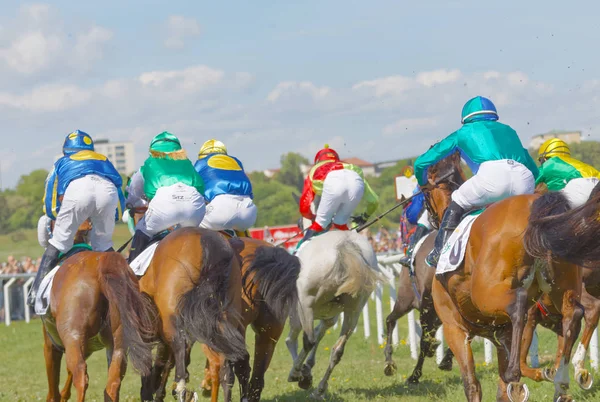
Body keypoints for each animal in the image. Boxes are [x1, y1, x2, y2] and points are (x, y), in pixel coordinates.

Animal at [41, 220, 155, 402]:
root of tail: (102, 263)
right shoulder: (88, 347)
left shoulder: (52, 344)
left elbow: (54, 387)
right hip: (119, 343)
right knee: (113, 383)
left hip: (73, 336)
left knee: (81, 376)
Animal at [138, 228, 248, 402]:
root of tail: (207, 241)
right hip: (224, 318)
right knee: (226, 370)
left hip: (172, 319)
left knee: (179, 351)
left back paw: (180, 389)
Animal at [245, 226, 382, 398]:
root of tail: (346, 245)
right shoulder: (329, 317)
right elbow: (319, 334)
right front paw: (308, 367)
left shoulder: (297, 314)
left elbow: (293, 340)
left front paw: (301, 372)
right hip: (354, 310)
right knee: (337, 350)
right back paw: (320, 388)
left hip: (306, 306)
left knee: (307, 340)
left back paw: (297, 372)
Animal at [424, 152, 584, 400]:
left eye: (424, 195)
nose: (428, 220)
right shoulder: (502, 336)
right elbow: (501, 391)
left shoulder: (453, 328)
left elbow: (471, 384)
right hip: (562, 284)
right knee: (573, 314)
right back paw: (561, 381)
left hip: (486, 293)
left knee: (518, 306)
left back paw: (517, 372)